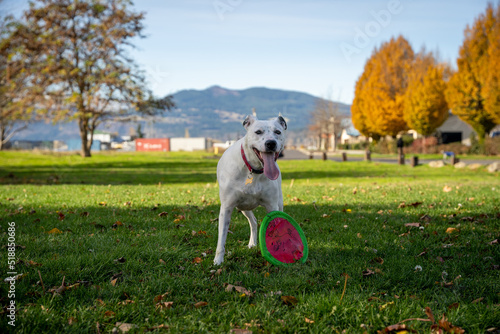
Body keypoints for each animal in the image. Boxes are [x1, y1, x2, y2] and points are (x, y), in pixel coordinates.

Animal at [213, 113, 288, 264]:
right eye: (258, 132)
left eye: (278, 132)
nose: (271, 143)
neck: (254, 169)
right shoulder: (227, 208)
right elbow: (221, 238)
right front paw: (218, 260)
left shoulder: (272, 205)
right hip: (243, 207)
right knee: (253, 221)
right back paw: (252, 243)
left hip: (279, 203)